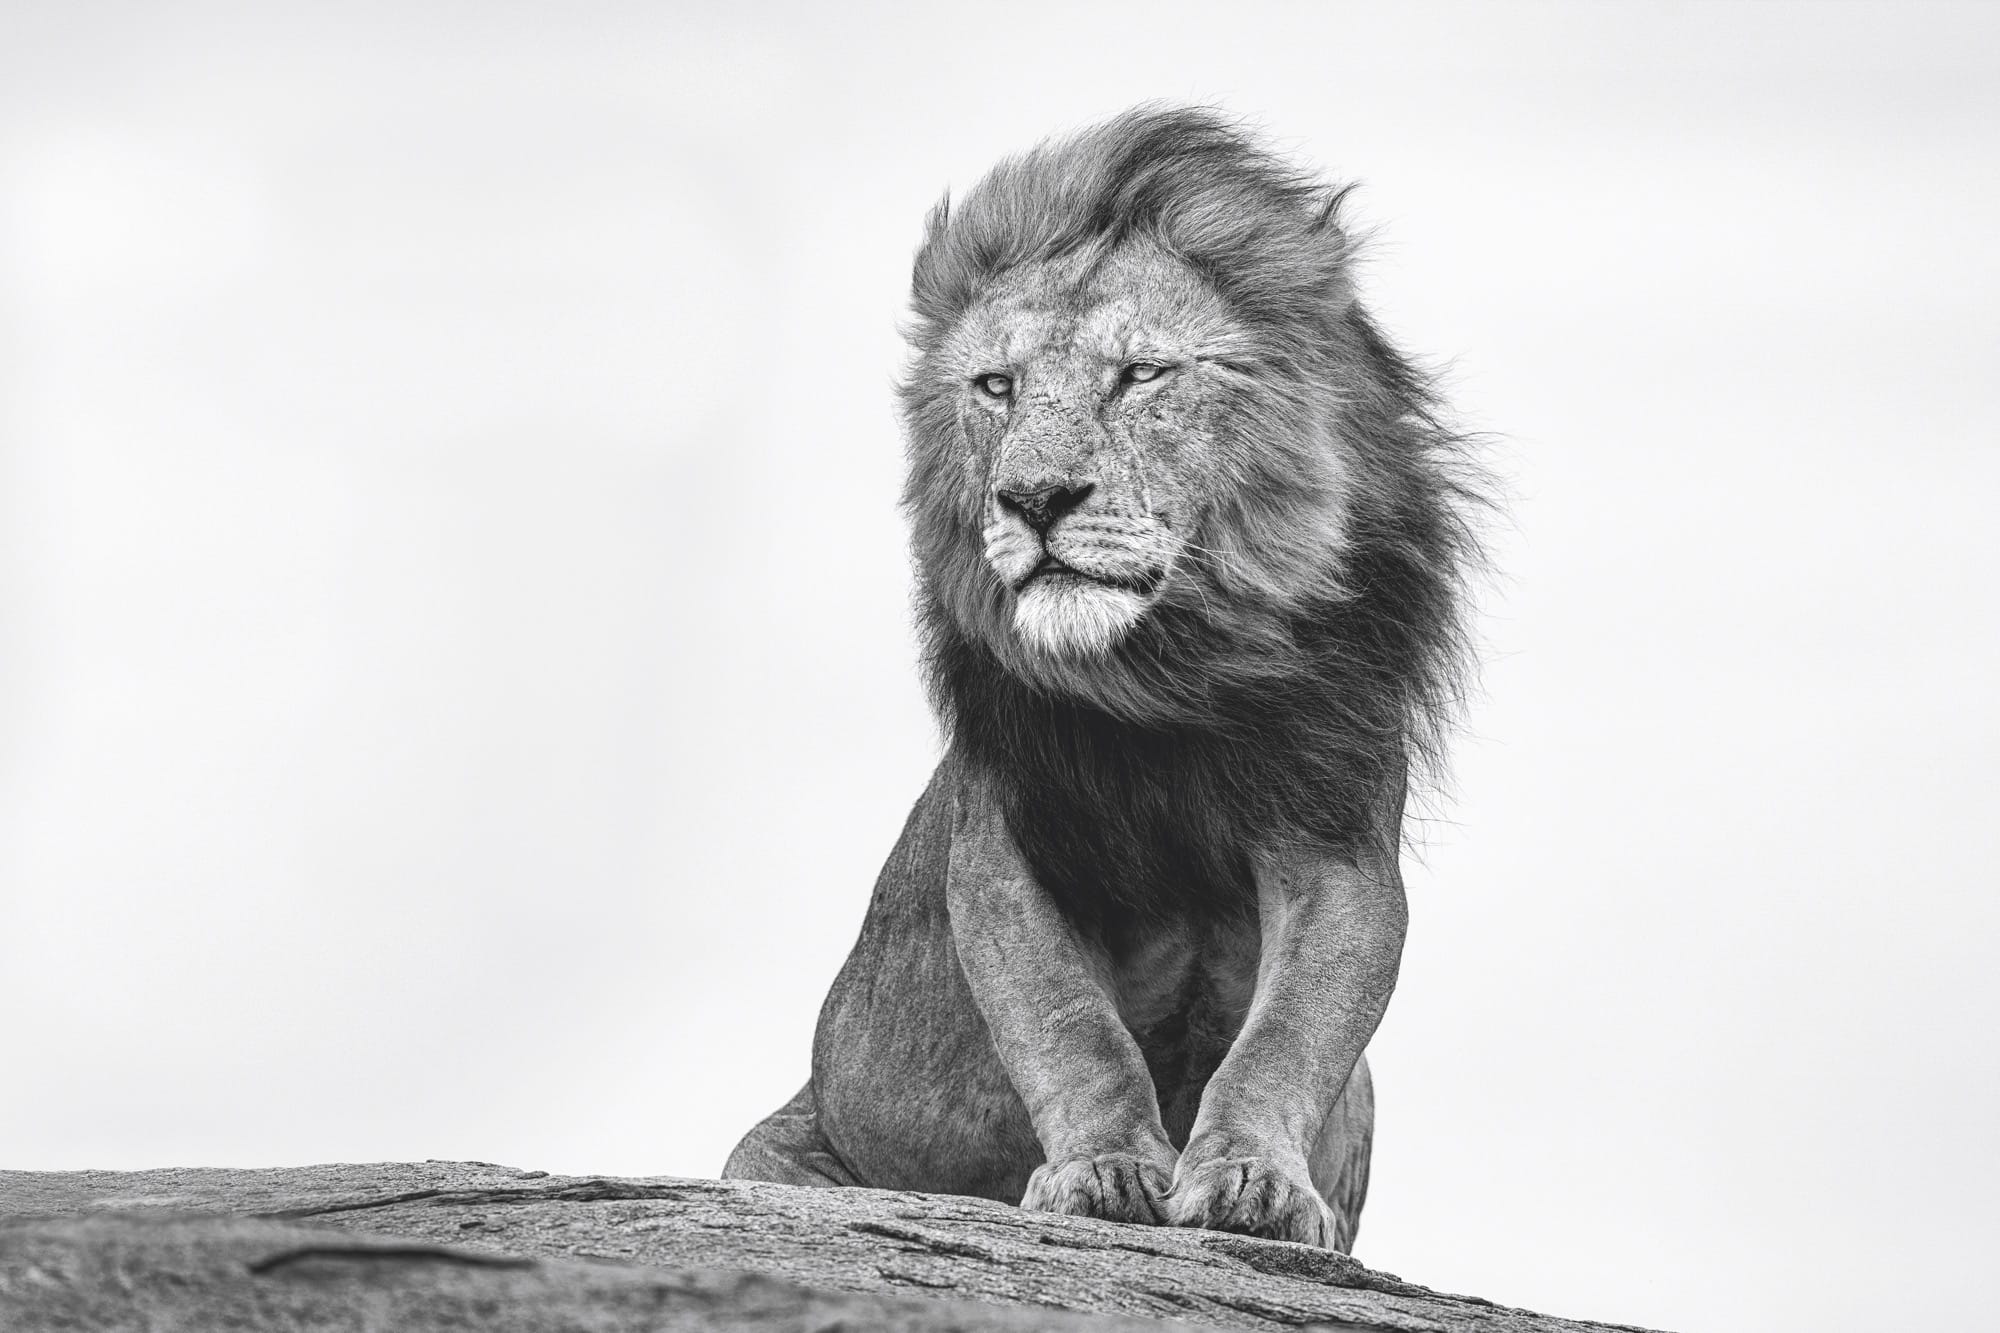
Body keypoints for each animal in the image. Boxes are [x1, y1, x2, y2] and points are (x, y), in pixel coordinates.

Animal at [723, 106, 1480, 1253]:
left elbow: (1287, 1037)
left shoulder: (1335, 841)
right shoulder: (1000, 840)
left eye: (1141, 375)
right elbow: (1069, 1027)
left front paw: (1253, 1182)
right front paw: (1104, 1169)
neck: (1164, 676)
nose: (1034, 497)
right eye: (997, 386)